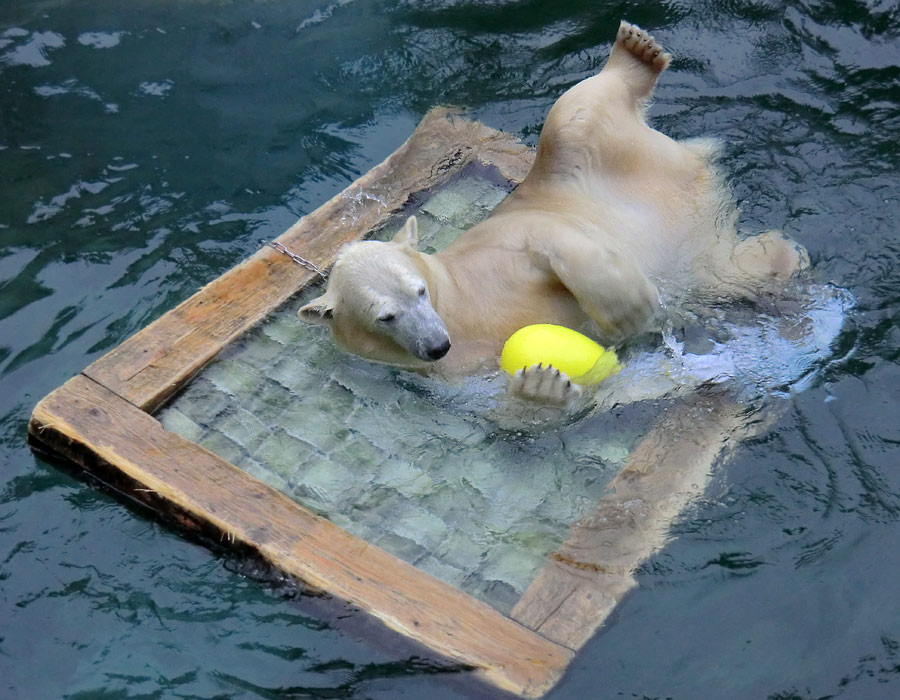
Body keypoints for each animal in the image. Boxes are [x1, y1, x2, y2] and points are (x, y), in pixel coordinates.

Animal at [300, 20, 808, 394]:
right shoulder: (460, 376)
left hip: (576, 166)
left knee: (572, 116)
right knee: (729, 272)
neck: (456, 304)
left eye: (420, 290)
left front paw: (631, 310)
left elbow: (549, 242)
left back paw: (634, 55)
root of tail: (697, 174)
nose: (437, 345)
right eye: (386, 316)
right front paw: (543, 386)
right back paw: (782, 257)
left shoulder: (497, 244)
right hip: (703, 259)